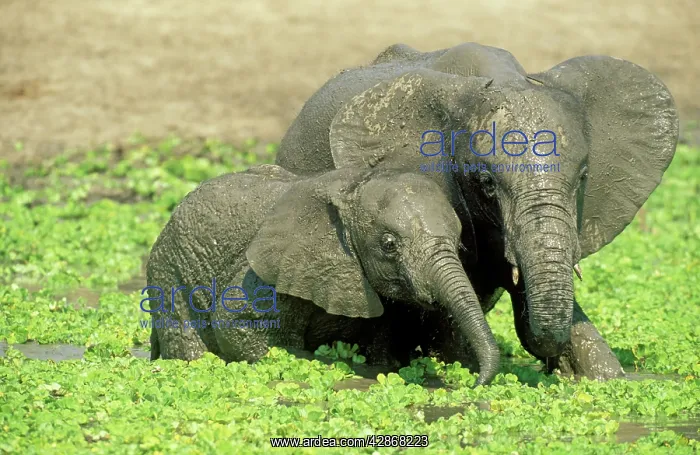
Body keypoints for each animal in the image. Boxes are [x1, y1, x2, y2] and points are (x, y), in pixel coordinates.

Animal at [144, 164, 501, 385]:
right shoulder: (269, 269)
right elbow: (235, 323)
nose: (474, 382)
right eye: (389, 245)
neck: (351, 190)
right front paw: (318, 361)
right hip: (169, 272)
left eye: (459, 241)